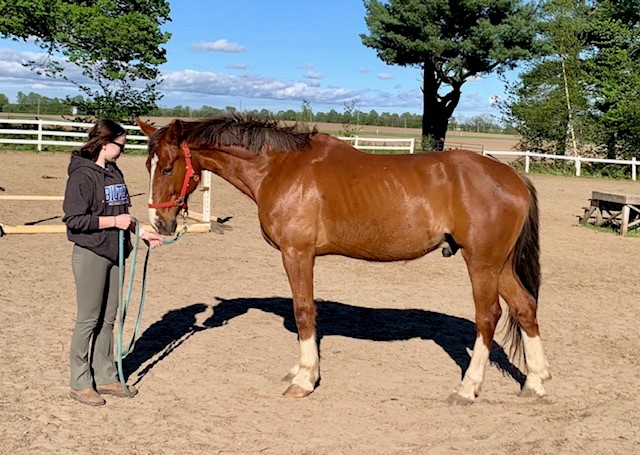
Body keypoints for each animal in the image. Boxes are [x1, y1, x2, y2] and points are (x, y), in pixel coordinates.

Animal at [136, 115, 551, 404]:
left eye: (169, 167)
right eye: (148, 166)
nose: (159, 223)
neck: (280, 167)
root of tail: (513, 176)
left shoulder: (298, 254)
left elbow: (304, 310)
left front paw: (305, 379)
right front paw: (300, 369)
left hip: (482, 264)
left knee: (488, 317)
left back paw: (467, 389)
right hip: (500, 265)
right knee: (525, 308)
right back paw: (535, 383)